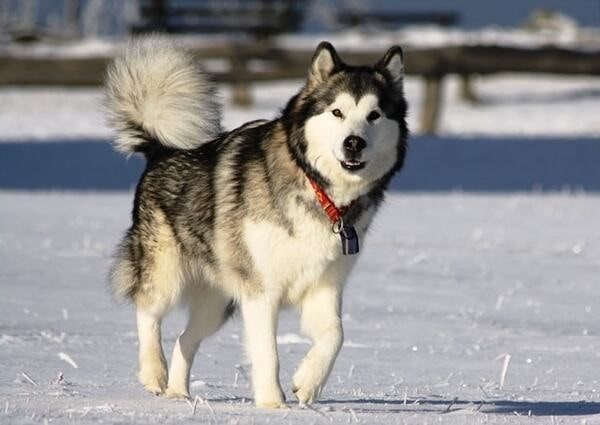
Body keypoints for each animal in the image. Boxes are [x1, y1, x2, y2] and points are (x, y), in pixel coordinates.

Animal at [104, 36, 408, 408]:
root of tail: (162, 149)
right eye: (337, 112)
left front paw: (308, 384)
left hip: (218, 302)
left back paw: (179, 393)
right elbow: (267, 352)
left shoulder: (324, 284)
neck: (318, 189)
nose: (354, 143)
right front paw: (272, 404)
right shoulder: (262, 290)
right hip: (167, 272)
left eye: (374, 115)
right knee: (147, 310)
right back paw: (154, 372)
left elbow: (335, 335)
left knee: (185, 338)